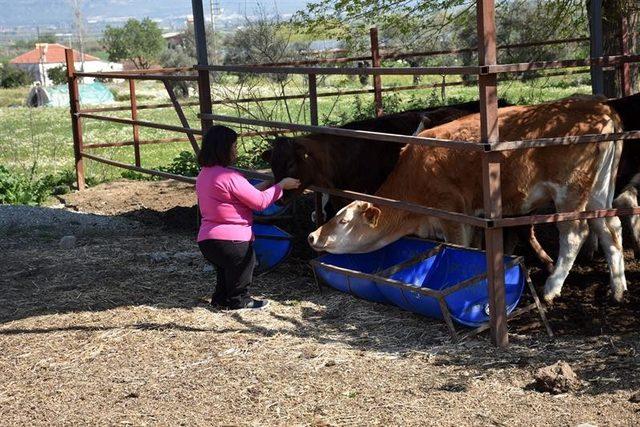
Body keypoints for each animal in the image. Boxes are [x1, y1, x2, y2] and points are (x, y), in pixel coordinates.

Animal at [308, 97, 628, 304]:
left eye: (343, 219)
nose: (313, 235)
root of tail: (600, 108)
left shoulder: (452, 215)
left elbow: (459, 249)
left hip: (569, 191)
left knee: (575, 233)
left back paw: (551, 289)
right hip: (600, 188)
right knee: (609, 226)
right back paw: (618, 288)